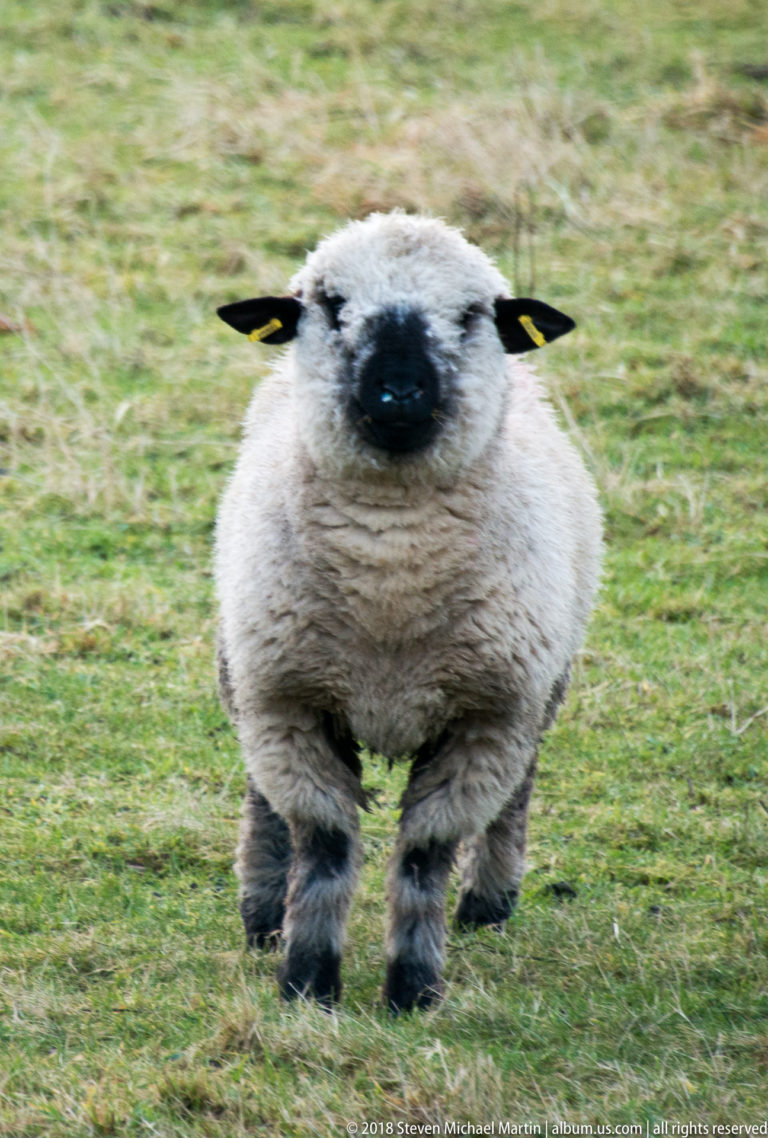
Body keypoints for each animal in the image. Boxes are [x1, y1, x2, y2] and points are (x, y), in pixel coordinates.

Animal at [214, 212, 602, 1013]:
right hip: (245, 671)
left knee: (520, 790)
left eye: (471, 315)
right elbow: (324, 844)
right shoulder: (287, 703)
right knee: (263, 802)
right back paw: (263, 912)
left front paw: (413, 989)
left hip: (540, 691)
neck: (389, 571)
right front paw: (307, 980)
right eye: (331, 305)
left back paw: (489, 904)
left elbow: (426, 853)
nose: (398, 391)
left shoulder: (488, 718)